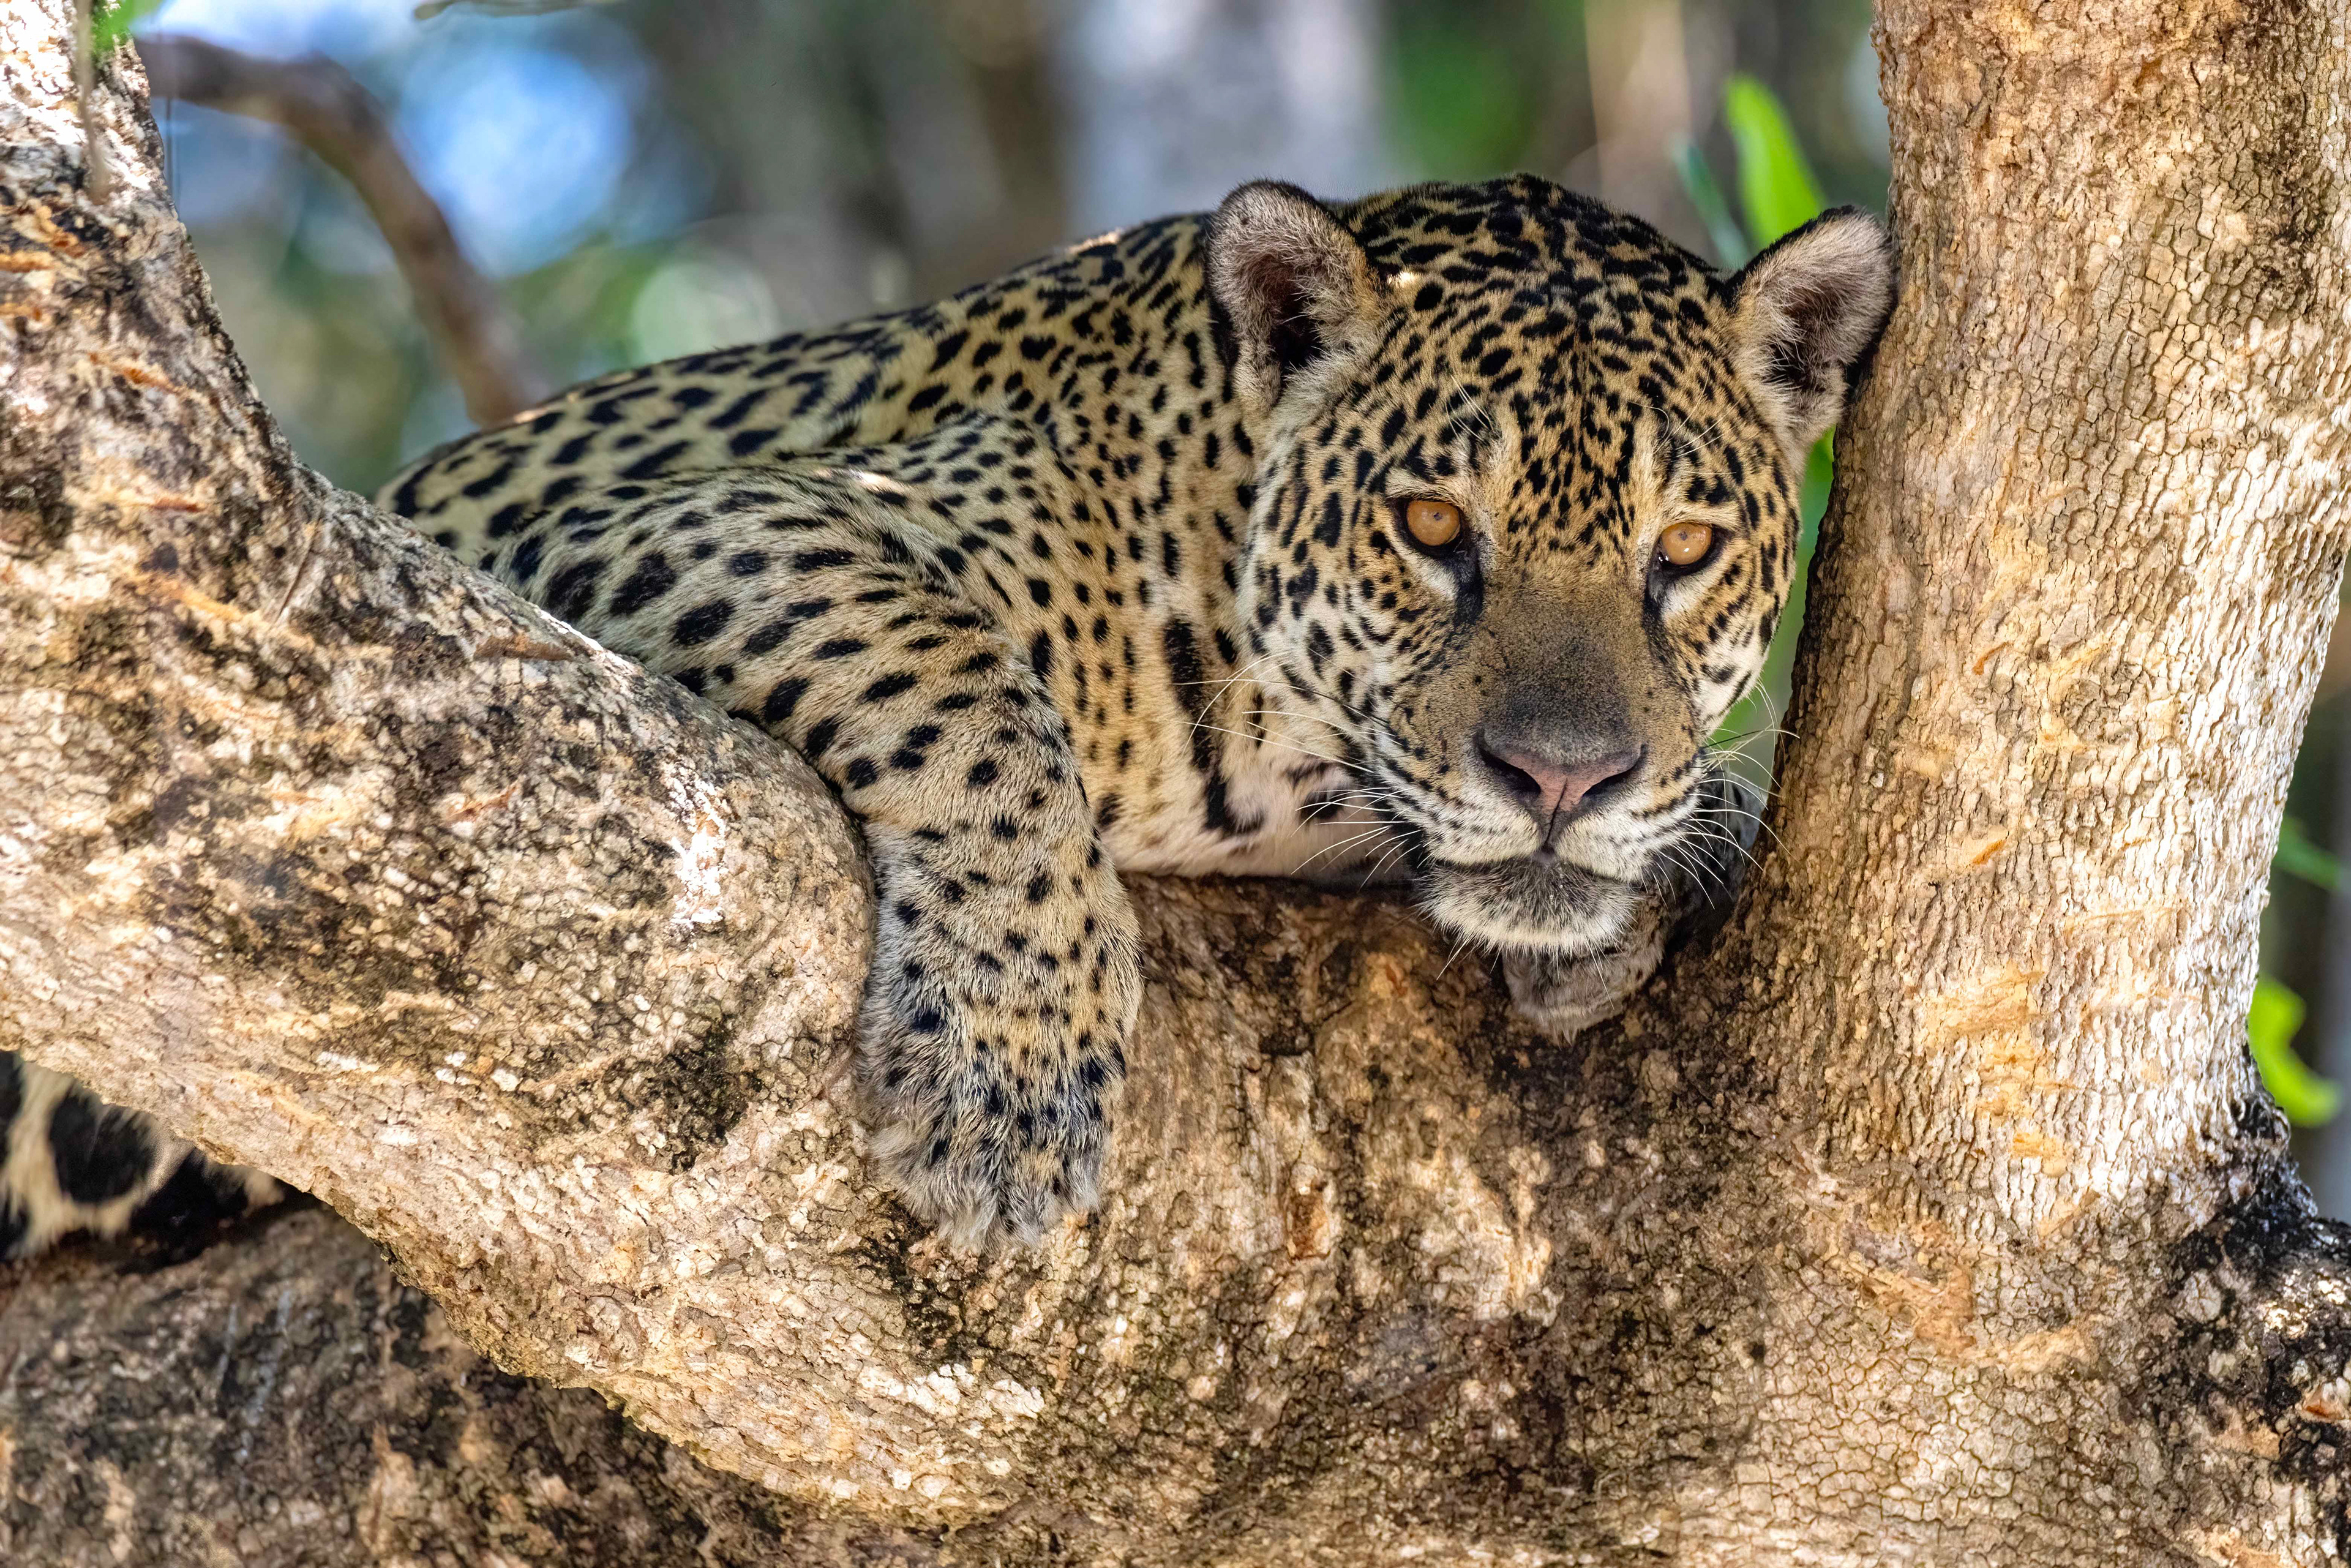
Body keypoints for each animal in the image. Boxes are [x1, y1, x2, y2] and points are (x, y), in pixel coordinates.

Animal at [0, 176, 1891, 1258]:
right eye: (1432, 527)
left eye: (1685, 549)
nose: (1563, 775)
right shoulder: (638, 532)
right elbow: (959, 681)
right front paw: (1010, 1073)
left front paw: (1652, 869)